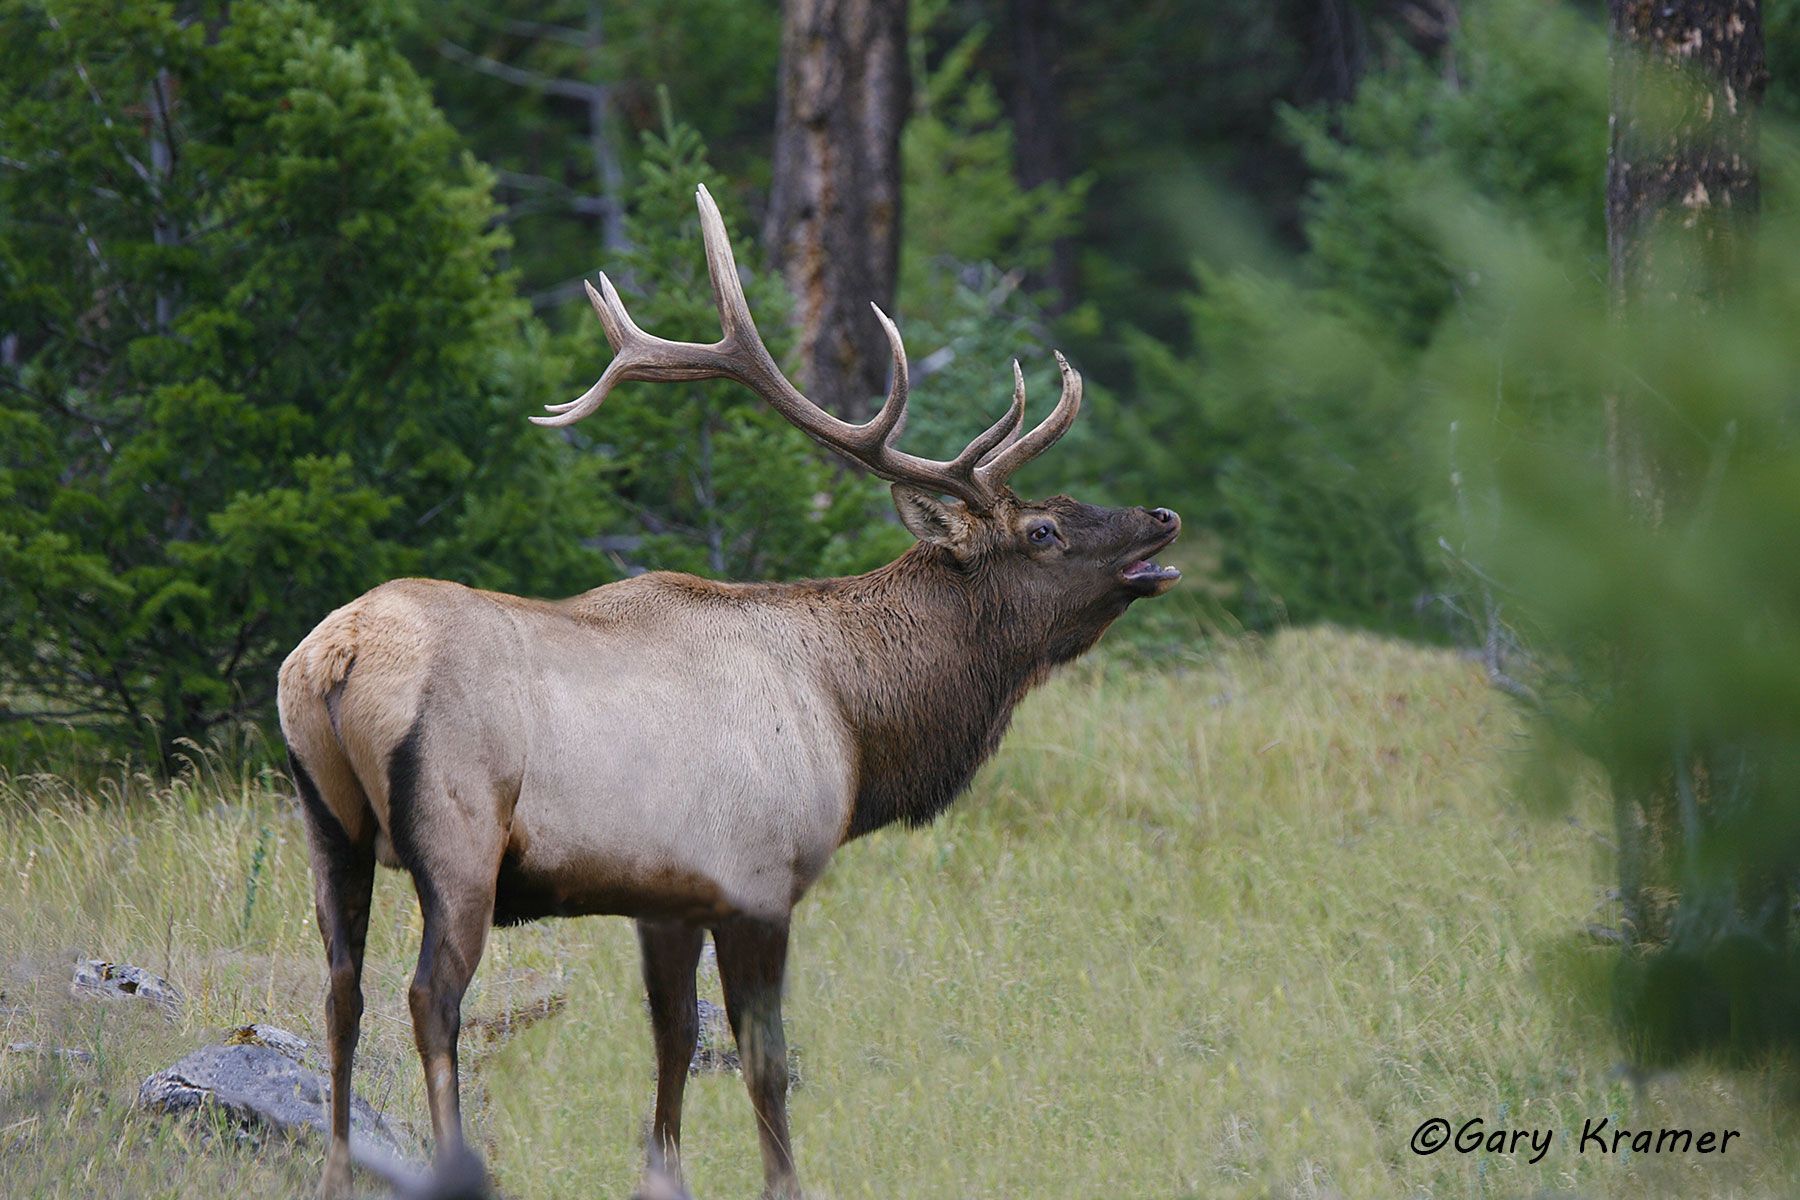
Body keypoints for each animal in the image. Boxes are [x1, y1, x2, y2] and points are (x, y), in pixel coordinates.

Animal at [277, 185, 1182, 1200]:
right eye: (1042, 532)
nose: (1162, 516)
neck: (854, 720)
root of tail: (335, 657)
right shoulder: (758, 879)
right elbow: (763, 1061)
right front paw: (785, 1181)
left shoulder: (667, 896)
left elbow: (672, 1042)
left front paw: (661, 1176)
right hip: (458, 830)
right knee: (431, 996)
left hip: (328, 827)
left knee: (341, 991)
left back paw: (337, 1171)